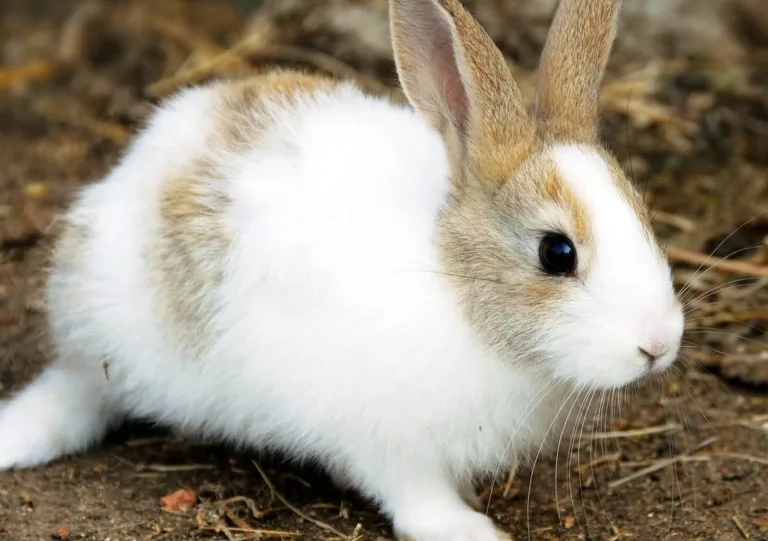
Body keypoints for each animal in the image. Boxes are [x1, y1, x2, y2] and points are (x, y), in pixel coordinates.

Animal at [0, 0, 683, 539]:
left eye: (642, 211)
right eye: (556, 253)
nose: (659, 345)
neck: (451, 286)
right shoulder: (382, 437)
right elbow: (412, 494)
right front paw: (468, 529)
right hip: (114, 339)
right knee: (78, 393)